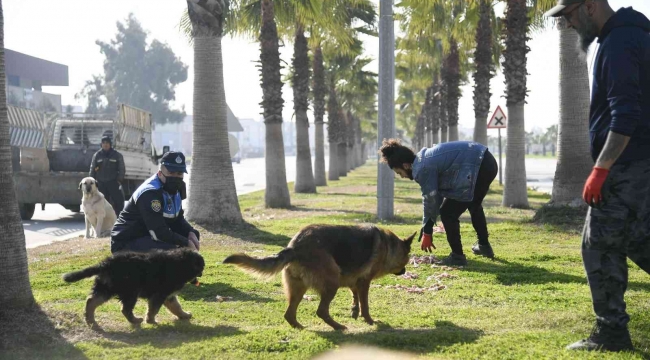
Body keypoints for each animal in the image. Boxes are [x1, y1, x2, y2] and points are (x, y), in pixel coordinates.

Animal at [61, 249, 202, 328]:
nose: (200, 276)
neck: (179, 263)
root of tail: (105, 263)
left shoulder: (168, 296)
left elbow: (176, 307)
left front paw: (184, 315)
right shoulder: (159, 294)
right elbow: (154, 309)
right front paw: (150, 321)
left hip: (106, 288)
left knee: (91, 301)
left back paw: (91, 322)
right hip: (131, 291)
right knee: (125, 309)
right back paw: (135, 320)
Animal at [223, 225, 416, 332]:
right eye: (407, 257)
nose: (405, 270)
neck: (389, 246)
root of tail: (295, 246)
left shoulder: (353, 279)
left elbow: (355, 296)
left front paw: (354, 311)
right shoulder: (364, 282)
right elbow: (365, 305)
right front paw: (369, 321)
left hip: (299, 289)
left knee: (289, 314)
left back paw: (301, 328)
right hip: (332, 282)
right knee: (321, 311)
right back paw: (338, 327)